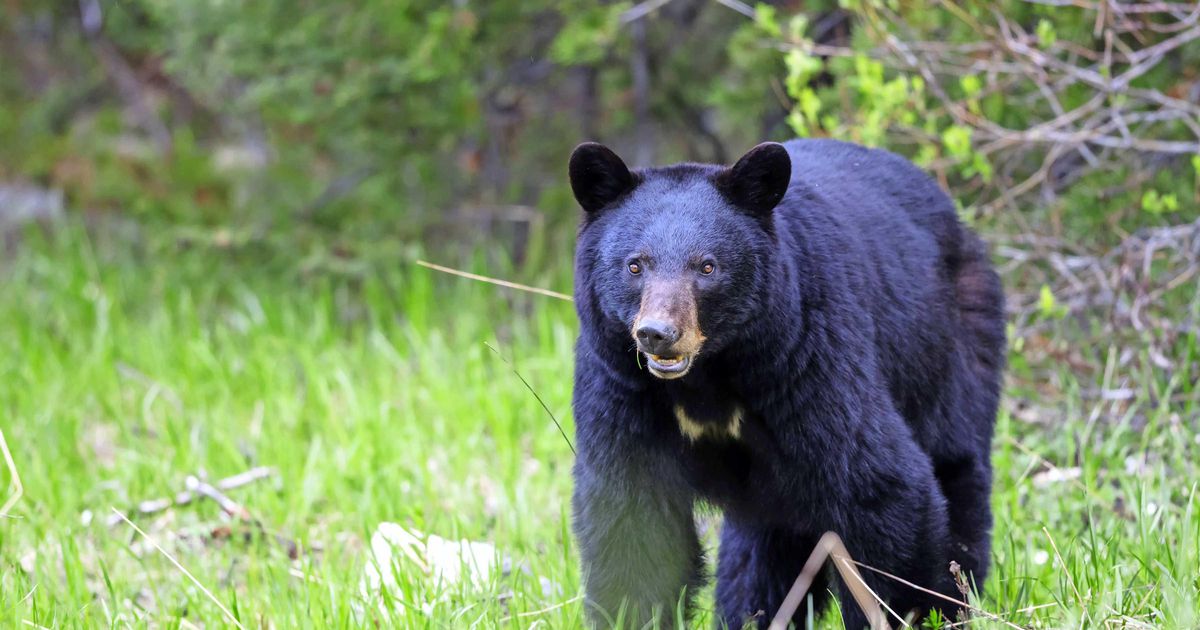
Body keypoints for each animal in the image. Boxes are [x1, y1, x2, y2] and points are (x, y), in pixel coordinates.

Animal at [566, 138, 1008, 628]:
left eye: (707, 267)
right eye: (635, 265)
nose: (657, 333)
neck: (707, 376)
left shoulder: (805, 360)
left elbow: (877, 484)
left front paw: (906, 611)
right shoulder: (623, 387)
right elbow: (632, 518)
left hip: (946, 347)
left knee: (956, 464)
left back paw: (959, 595)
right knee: (763, 546)